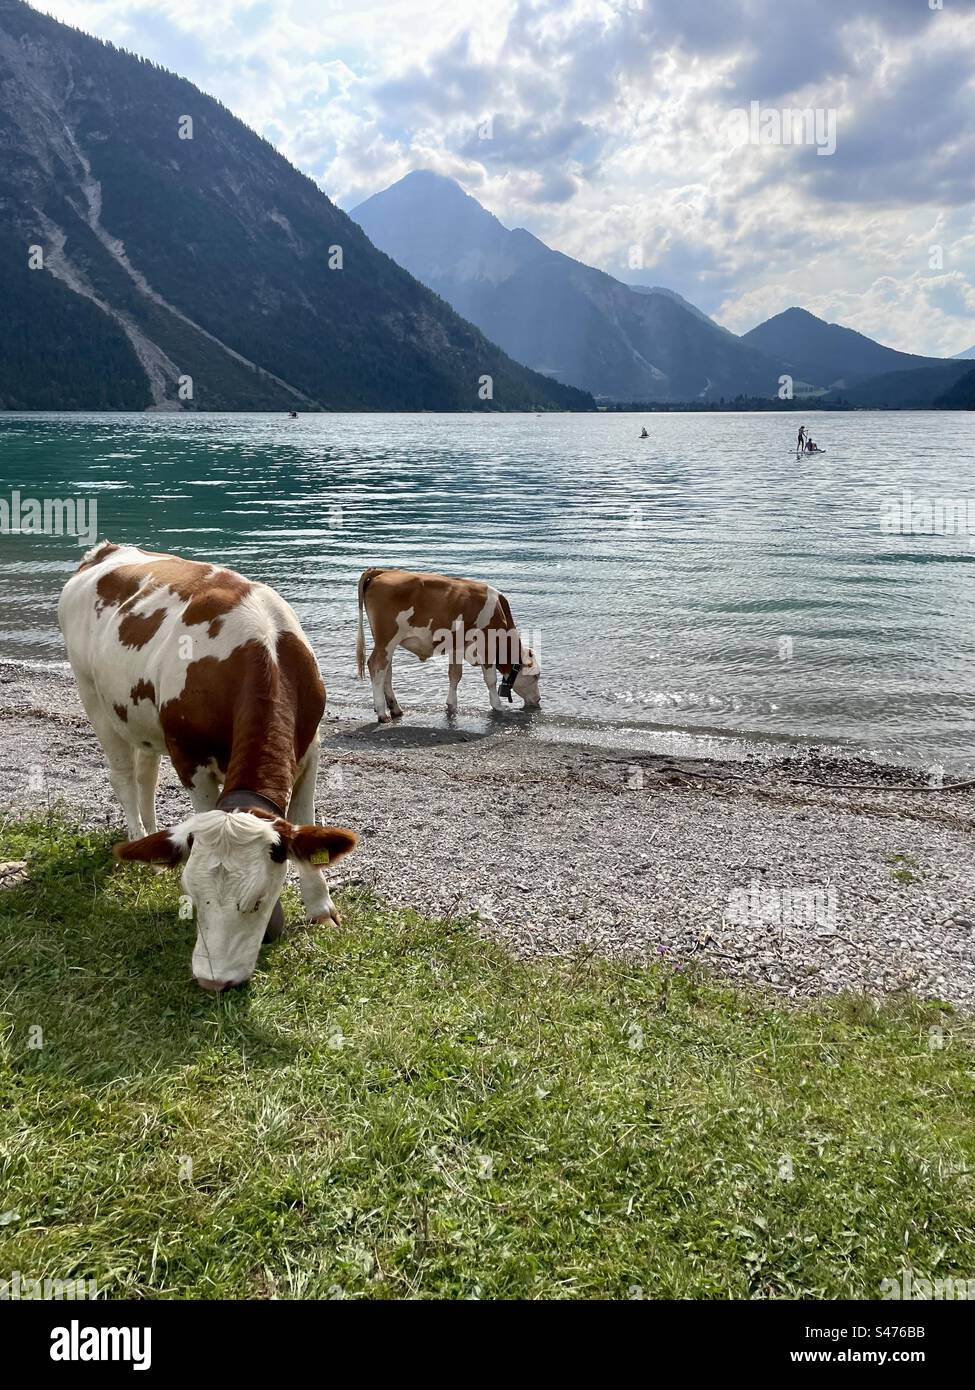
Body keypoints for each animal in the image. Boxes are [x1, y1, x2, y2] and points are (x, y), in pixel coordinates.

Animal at [59, 542, 357, 992]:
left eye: (259, 901)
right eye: (196, 898)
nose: (213, 982)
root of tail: (107, 550)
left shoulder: (310, 749)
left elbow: (306, 825)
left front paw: (321, 909)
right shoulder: (190, 758)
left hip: (146, 720)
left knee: (146, 772)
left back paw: (155, 842)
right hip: (93, 697)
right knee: (124, 775)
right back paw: (139, 835)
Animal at [355, 567, 541, 721]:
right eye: (536, 676)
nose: (539, 700)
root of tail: (382, 571)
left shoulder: (458, 645)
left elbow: (455, 674)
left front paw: (451, 704)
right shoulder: (486, 642)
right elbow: (490, 679)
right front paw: (497, 705)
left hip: (387, 642)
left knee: (386, 670)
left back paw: (395, 709)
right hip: (387, 638)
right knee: (376, 665)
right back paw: (382, 713)